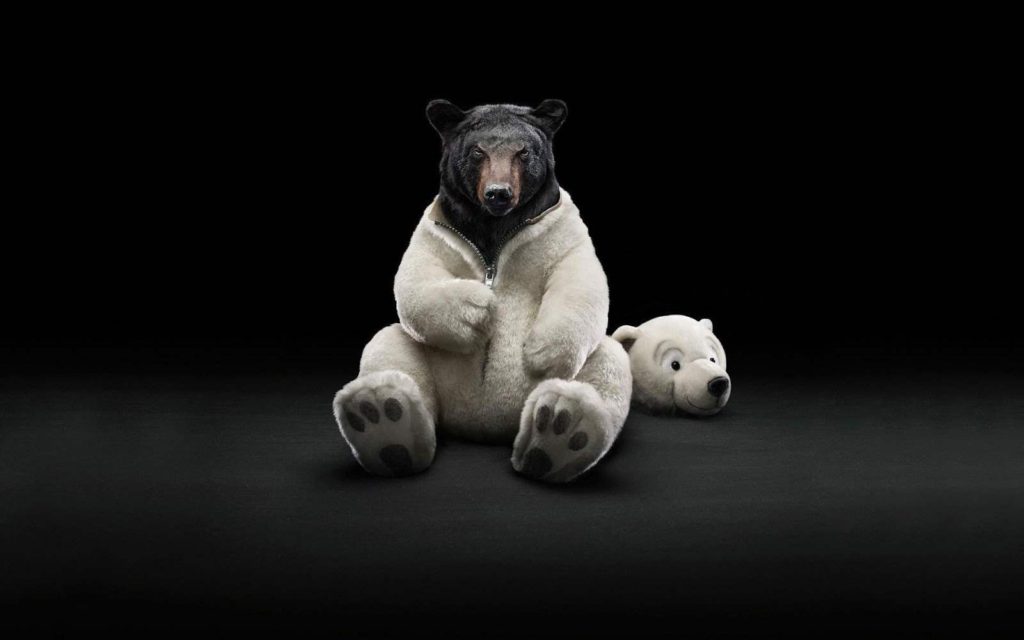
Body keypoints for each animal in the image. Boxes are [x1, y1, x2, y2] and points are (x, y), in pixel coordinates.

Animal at [332, 99, 633, 483]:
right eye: (478, 151)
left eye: (523, 152)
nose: (498, 193)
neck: (494, 226)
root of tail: (484, 426)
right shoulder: (436, 231)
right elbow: (416, 277)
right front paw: (478, 311)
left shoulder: (561, 230)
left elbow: (580, 276)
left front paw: (542, 351)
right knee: (390, 347)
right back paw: (382, 420)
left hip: (590, 366)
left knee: (606, 363)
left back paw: (560, 432)